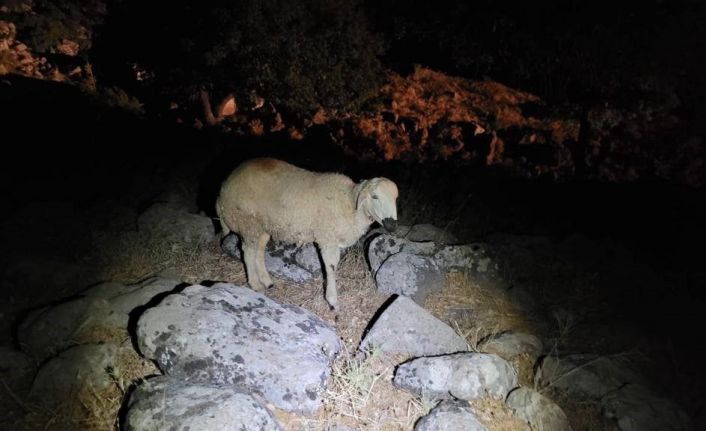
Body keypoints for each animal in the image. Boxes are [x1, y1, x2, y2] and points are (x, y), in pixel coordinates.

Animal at [214, 159, 396, 310]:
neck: (350, 204)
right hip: (247, 221)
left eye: (395, 198)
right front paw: (332, 300)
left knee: (258, 251)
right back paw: (255, 284)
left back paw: (267, 281)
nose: (391, 225)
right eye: (374, 196)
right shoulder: (327, 237)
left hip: (264, 226)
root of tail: (224, 186)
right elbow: (331, 266)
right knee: (248, 252)